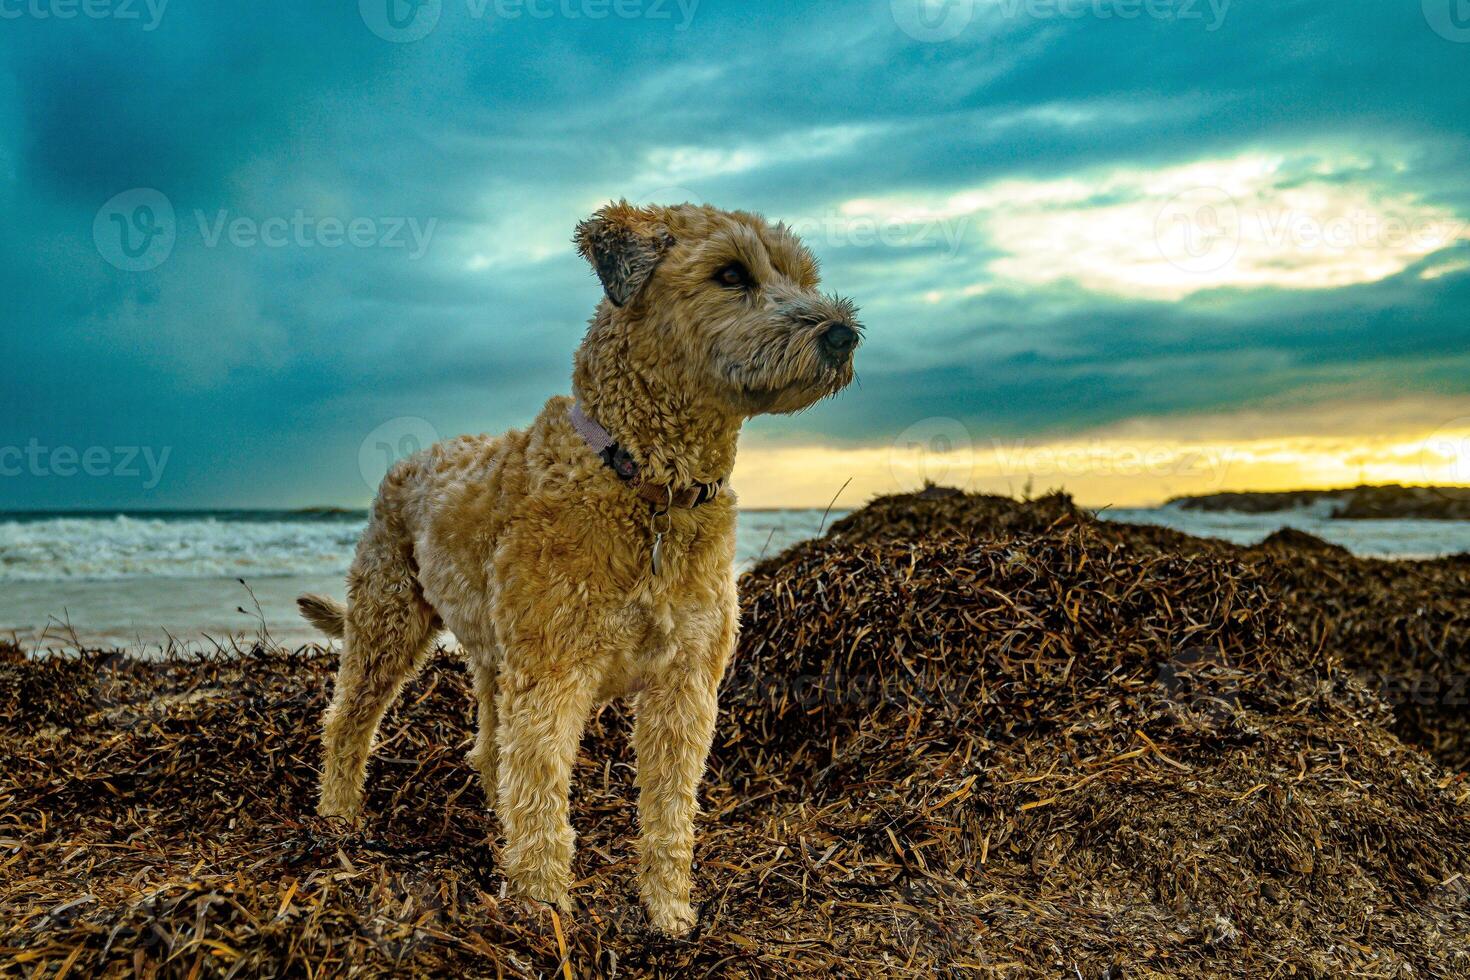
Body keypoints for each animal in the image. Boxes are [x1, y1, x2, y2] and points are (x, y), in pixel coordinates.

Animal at [301, 199, 858, 934]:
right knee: (351, 720)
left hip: (492, 652)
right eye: (731, 274)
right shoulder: (554, 675)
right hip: (387, 620)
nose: (843, 335)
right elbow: (542, 792)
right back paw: (339, 816)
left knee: (489, 746)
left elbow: (670, 807)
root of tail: (410, 460)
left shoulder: (686, 684)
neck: (650, 484)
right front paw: (542, 906)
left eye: (801, 276)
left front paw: (668, 909)